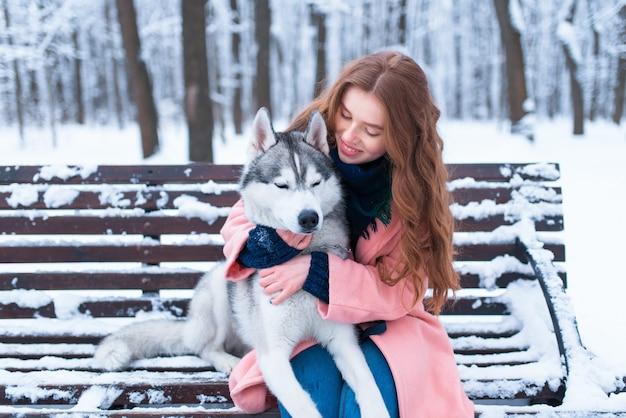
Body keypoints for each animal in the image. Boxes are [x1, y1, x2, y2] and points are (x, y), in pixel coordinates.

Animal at [93, 108, 388, 418]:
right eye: (281, 185)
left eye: (316, 183)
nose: (309, 217)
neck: (303, 259)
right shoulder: (273, 355)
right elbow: (304, 406)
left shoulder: (343, 342)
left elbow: (371, 389)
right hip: (222, 292)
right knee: (206, 347)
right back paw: (227, 360)